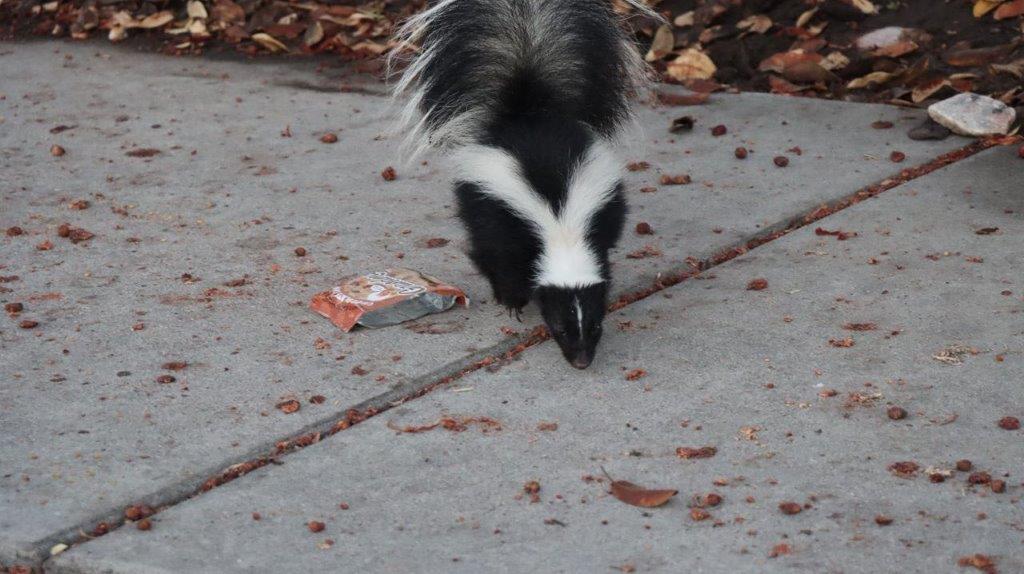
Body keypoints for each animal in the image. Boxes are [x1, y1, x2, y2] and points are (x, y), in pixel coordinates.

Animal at [387, 0, 651, 366]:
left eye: (595, 326)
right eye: (560, 328)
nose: (582, 361)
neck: (560, 227)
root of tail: (526, 112)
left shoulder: (596, 223)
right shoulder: (508, 226)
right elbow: (505, 264)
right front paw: (513, 303)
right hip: (478, 201)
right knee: (482, 247)